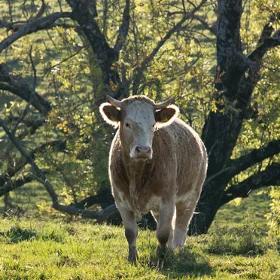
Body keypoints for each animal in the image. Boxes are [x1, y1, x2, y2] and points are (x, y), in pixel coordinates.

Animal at [99, 95, 207, 264]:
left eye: (153, 125)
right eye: (127, 123)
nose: (143, 150)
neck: (137, 174)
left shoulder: (167, 201)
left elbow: (162, 233)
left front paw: (161, 260)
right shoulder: (121, 201)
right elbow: (130, 232)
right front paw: (133, 258)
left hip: (191, 196)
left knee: (181, 225)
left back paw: (177, 251)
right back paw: (171, 250)